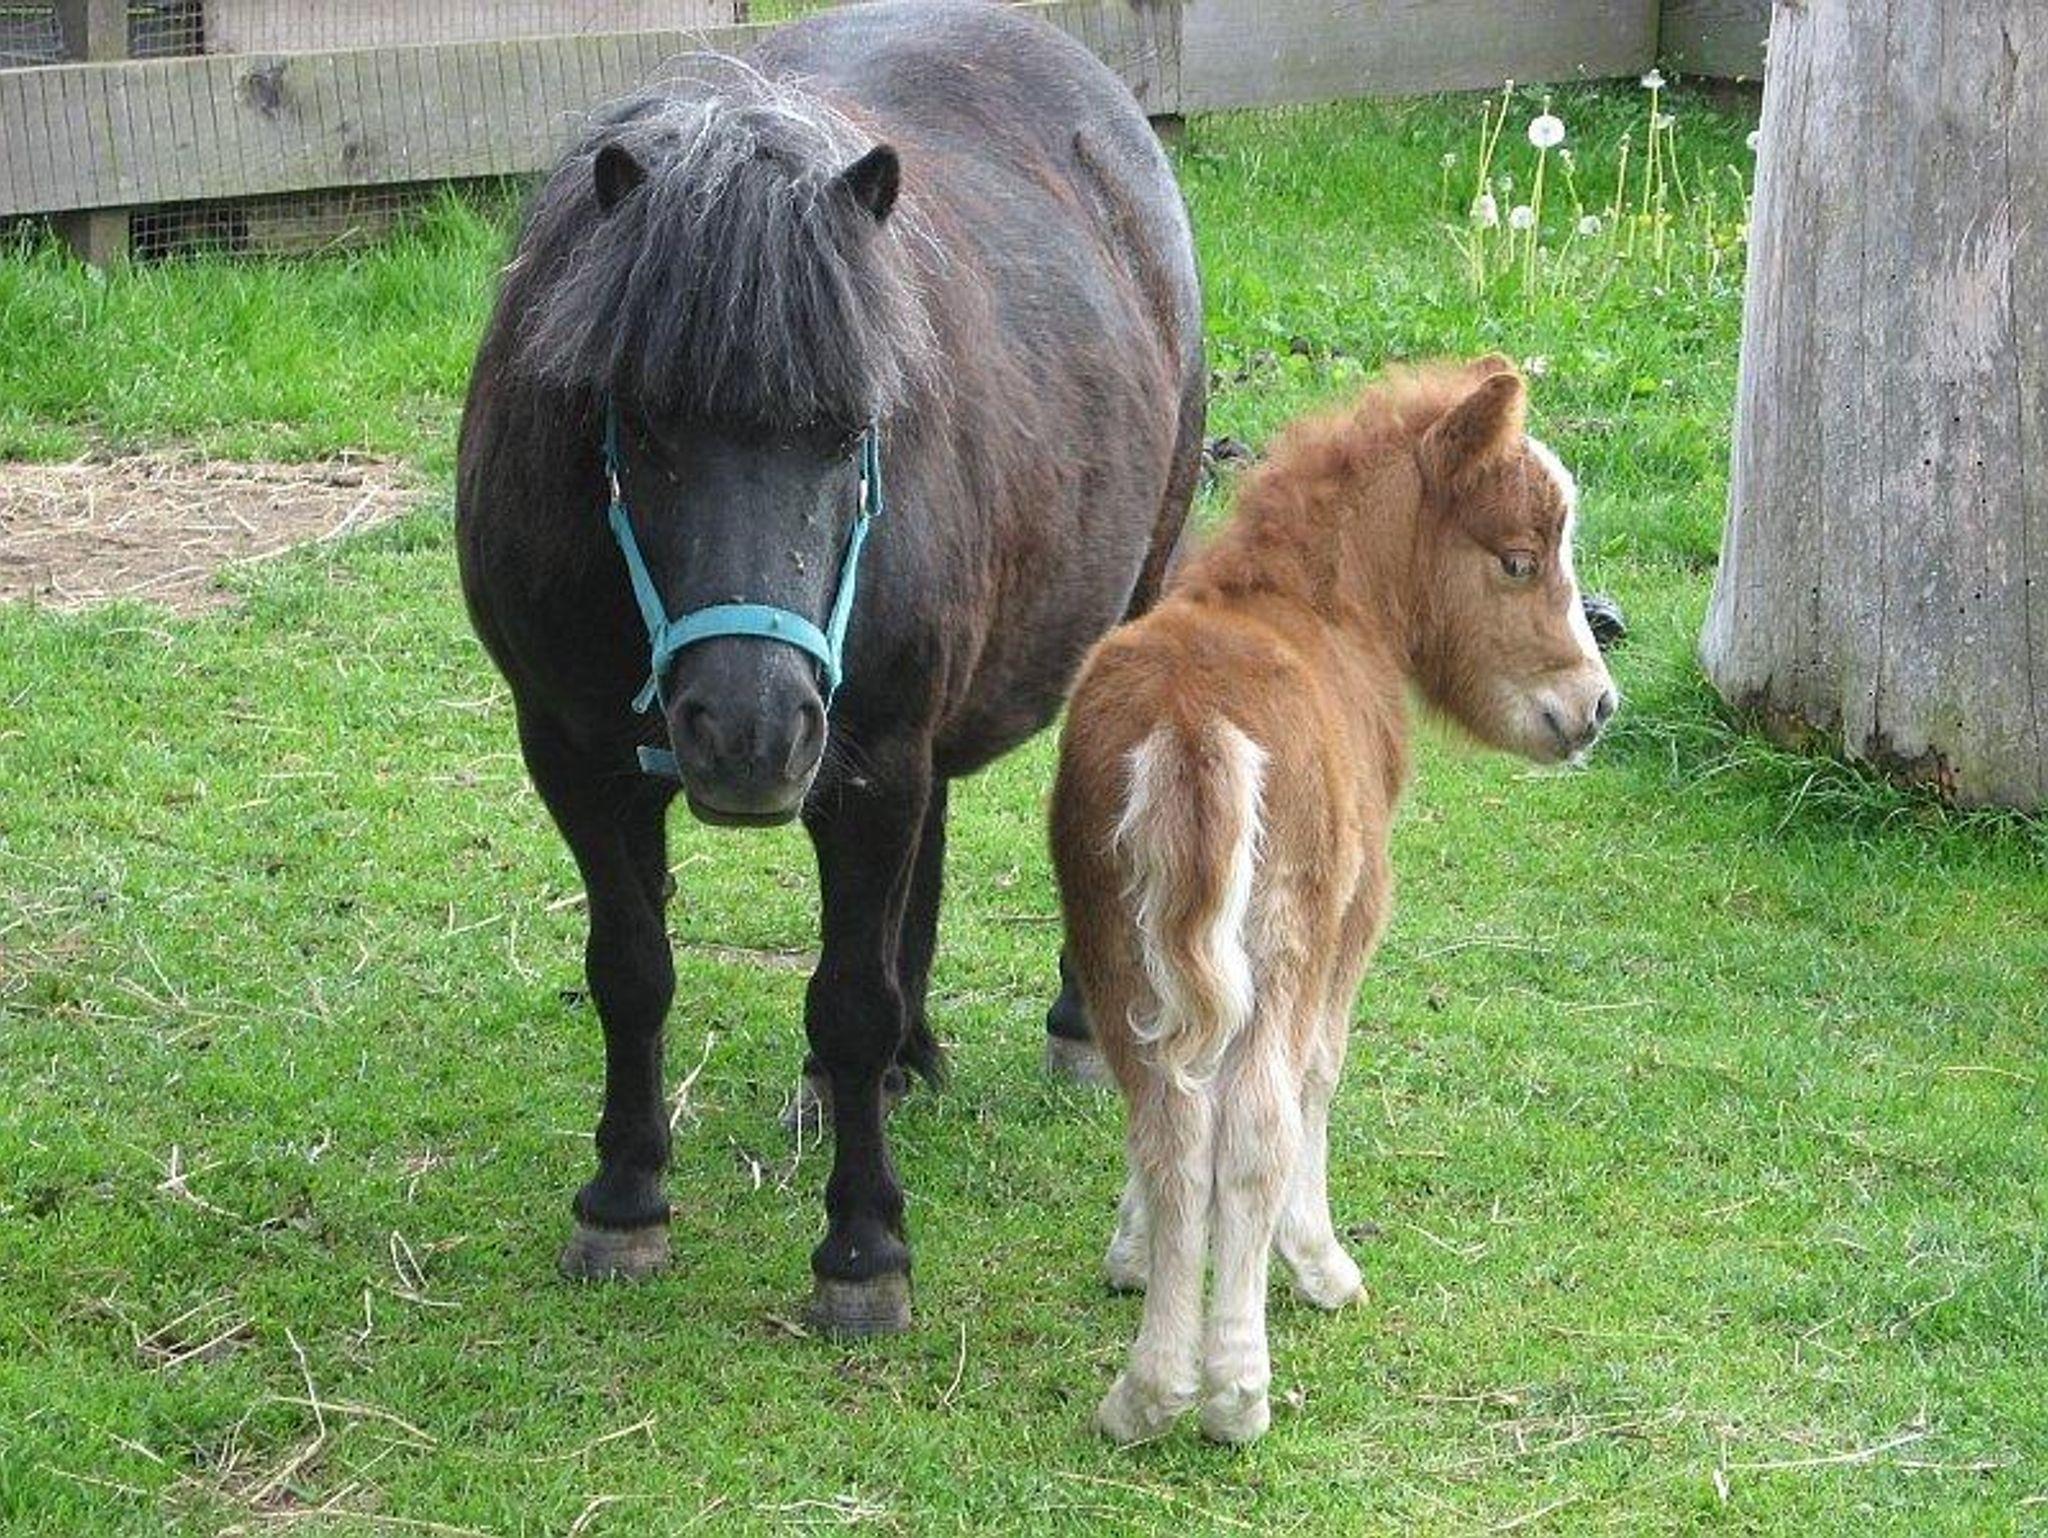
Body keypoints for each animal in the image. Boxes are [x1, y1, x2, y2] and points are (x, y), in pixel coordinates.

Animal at [454, 0, 1203, 1336]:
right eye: (638, 415)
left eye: (850, 424)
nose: (748, 729)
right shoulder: (575, 755)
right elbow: (630, 971)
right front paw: (624, 1197)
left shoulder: (864, 760)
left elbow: (847, 999)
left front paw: (861, 1248)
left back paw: (1074, 1022)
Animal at [1050, 358, 1617, 1442]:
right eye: (1519, 561)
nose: (1594, 708)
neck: (1313, 608)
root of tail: (1193, 725)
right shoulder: (1355, 920)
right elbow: (1318, 1078)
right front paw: (1314, 1263)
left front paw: (1131, 1256)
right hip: (1283, 940)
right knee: (1253, 1123)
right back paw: (1232, 1391)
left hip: (1115, 938)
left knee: (1166, 1116)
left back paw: (1144, 1392)